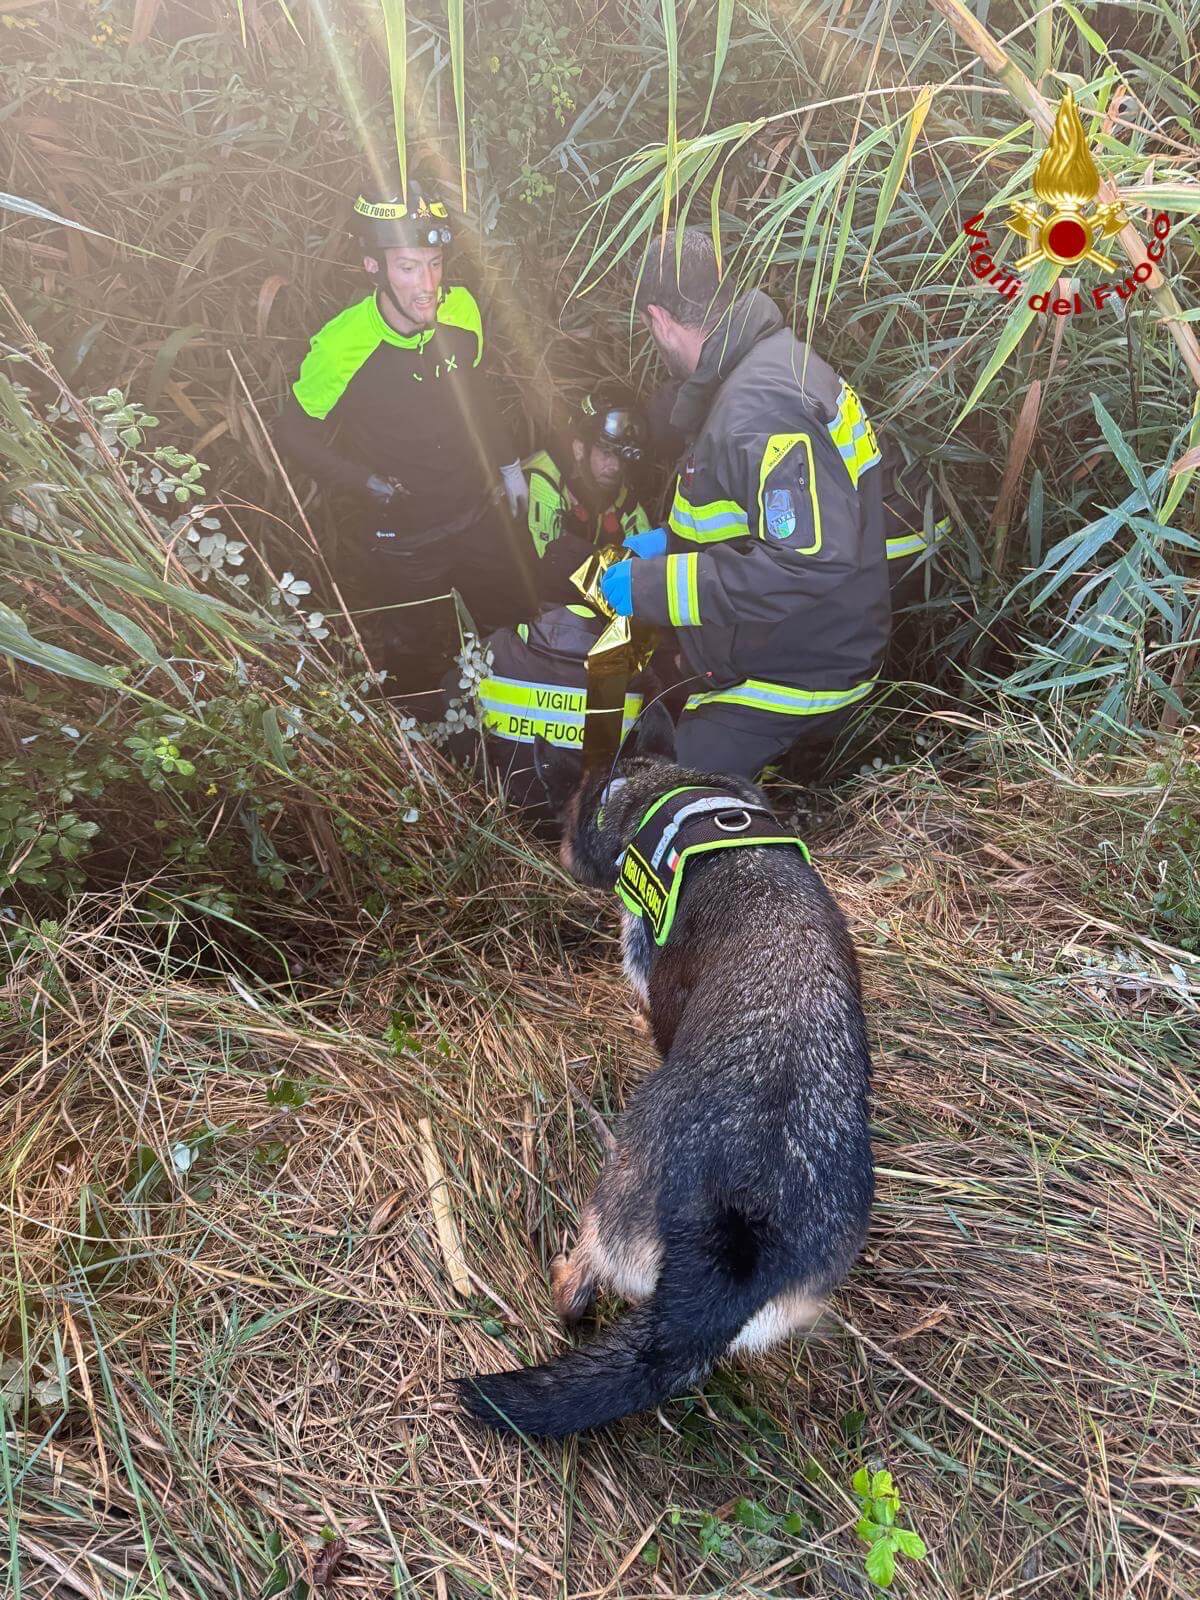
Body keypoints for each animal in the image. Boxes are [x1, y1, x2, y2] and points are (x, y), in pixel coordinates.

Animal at [457, 704, 876, 1440]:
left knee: (579, 1287)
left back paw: (561, 1273)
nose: (560, 849)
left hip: (616, 1195)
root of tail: (734, 1252)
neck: (665, 790)